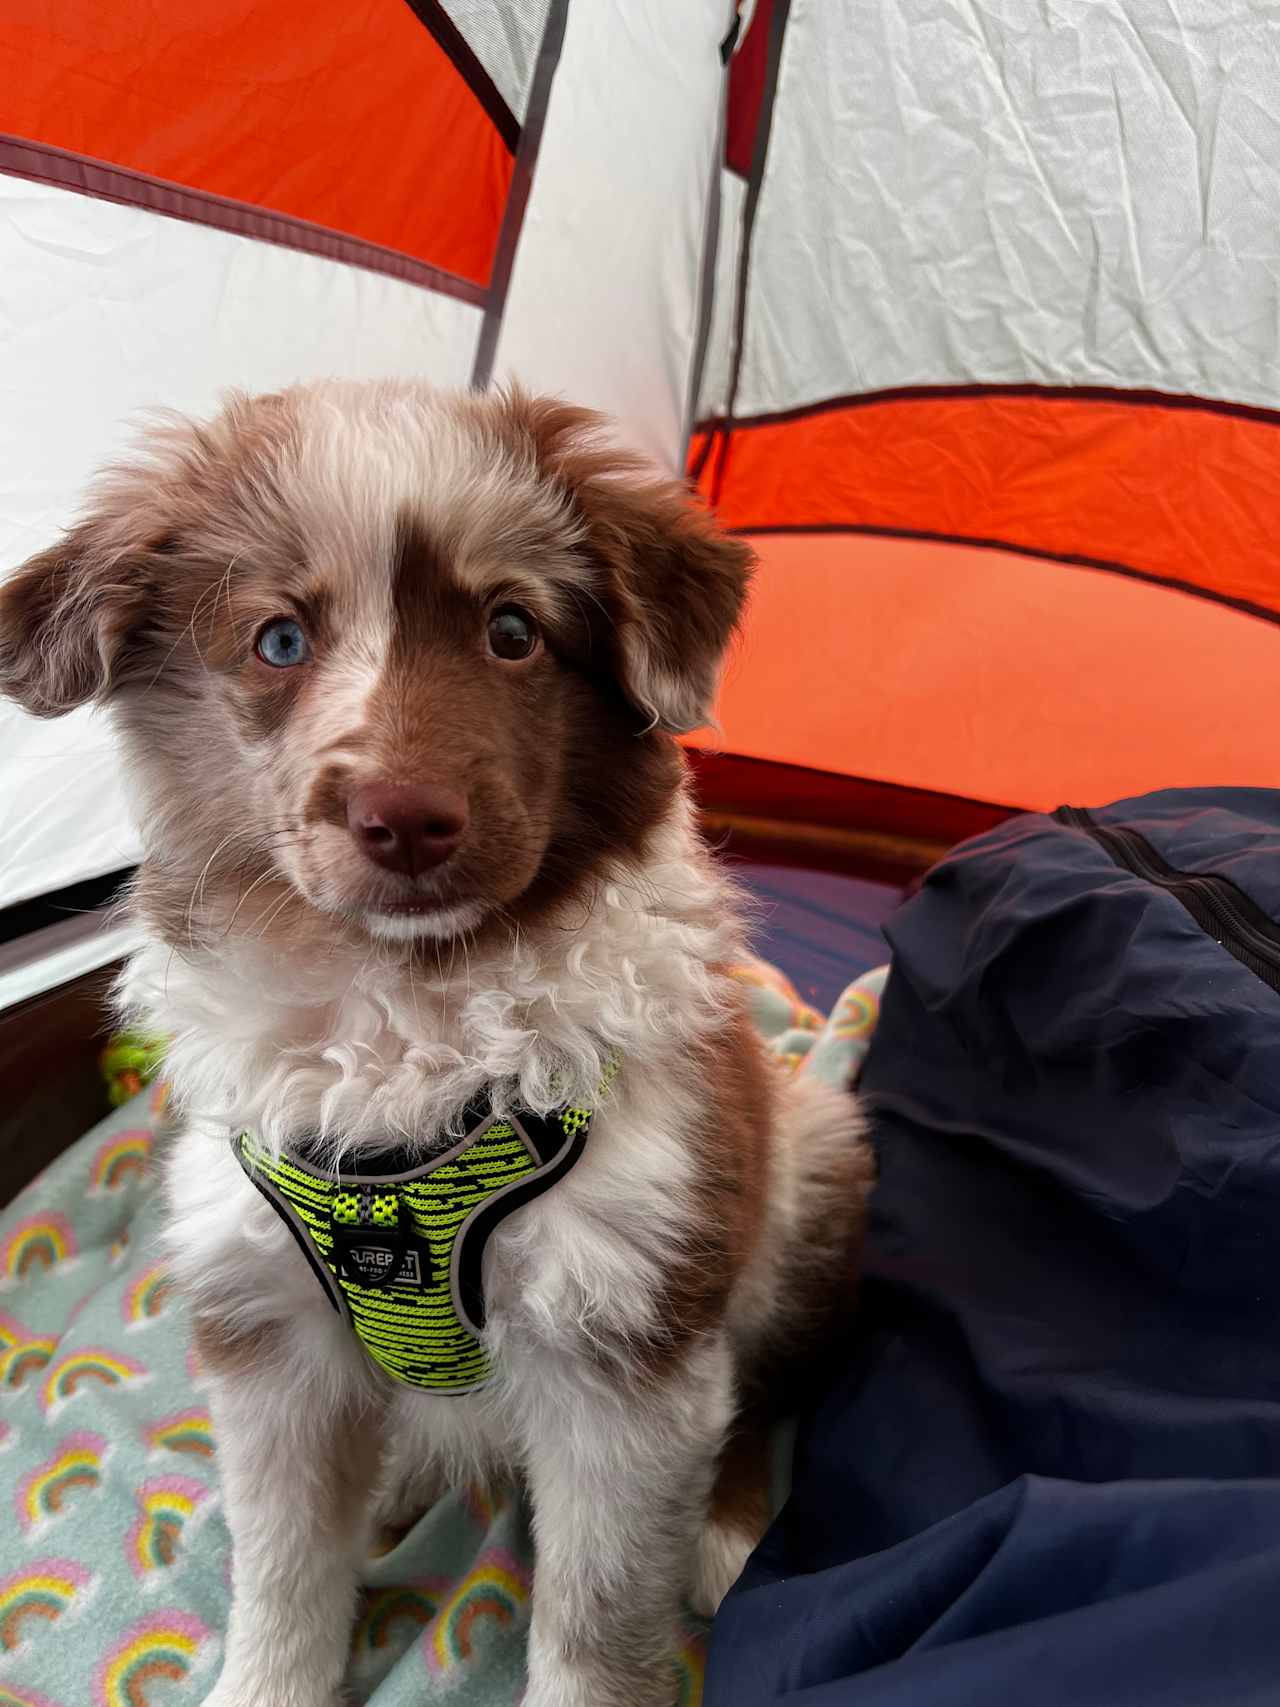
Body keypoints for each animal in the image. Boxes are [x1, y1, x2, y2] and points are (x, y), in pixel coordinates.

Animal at [0, 384, 873, 1707]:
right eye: (277, 642)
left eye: (512, 631)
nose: (405, 819)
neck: (403, 1012)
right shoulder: (265, 1332)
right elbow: (282, 1572)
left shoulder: (628, 1341)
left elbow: (594, 1619)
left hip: (804, 1157)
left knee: (772, 1388)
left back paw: (724, 1536)